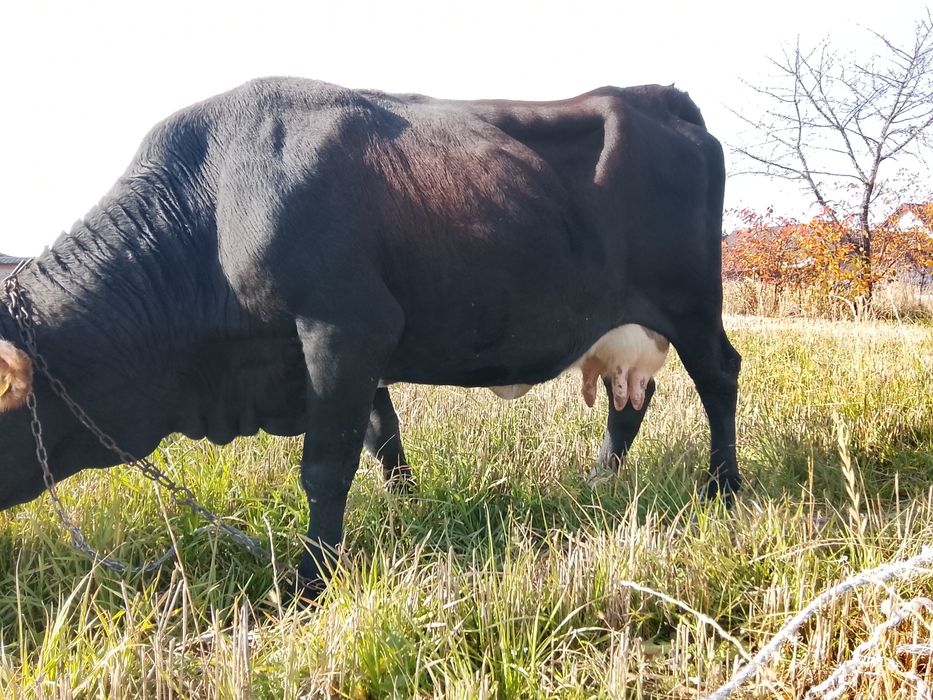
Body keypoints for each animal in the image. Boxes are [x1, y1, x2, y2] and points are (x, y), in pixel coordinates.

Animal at [0, 77, 741, 597]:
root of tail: (656, 96)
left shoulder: (342, 328)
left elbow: (326, 466)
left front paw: (309, 581)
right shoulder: (358, 353)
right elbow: (383, 440)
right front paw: (407, 508)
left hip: (693, 304)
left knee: (720, 376)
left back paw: (724, 490)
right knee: (630, 403)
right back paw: (598, 480)